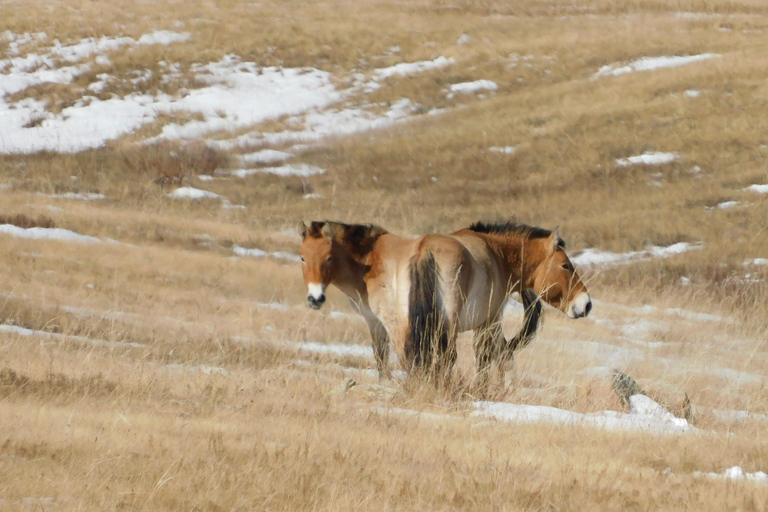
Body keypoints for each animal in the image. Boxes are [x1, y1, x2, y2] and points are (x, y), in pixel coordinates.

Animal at [296, 219, 592, 384]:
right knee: (444, 357)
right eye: (566, 265)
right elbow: (487, 358)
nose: (586, 304)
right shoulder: (489, 320)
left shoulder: (376, 322)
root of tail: (425, 249)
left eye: (328, 257)